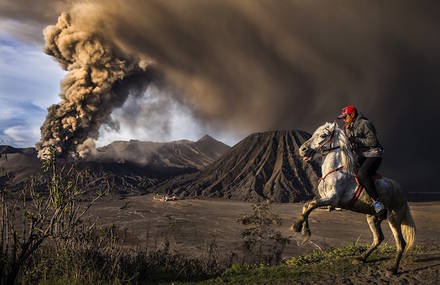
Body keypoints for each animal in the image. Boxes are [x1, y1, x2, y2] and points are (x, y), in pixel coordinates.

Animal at [292, 121, 416, 274]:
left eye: (323, 135)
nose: (302, 149)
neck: (336, 171)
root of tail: (401, 191)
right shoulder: (327, 202)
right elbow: (307, 206)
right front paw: (304, 230)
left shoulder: (332, 199)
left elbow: (311, 205)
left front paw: (297, 226)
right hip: (372, 217)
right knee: (378, 238)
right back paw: (361, 258)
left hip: (393, 218)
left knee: (401, 243)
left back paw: (393, 269)